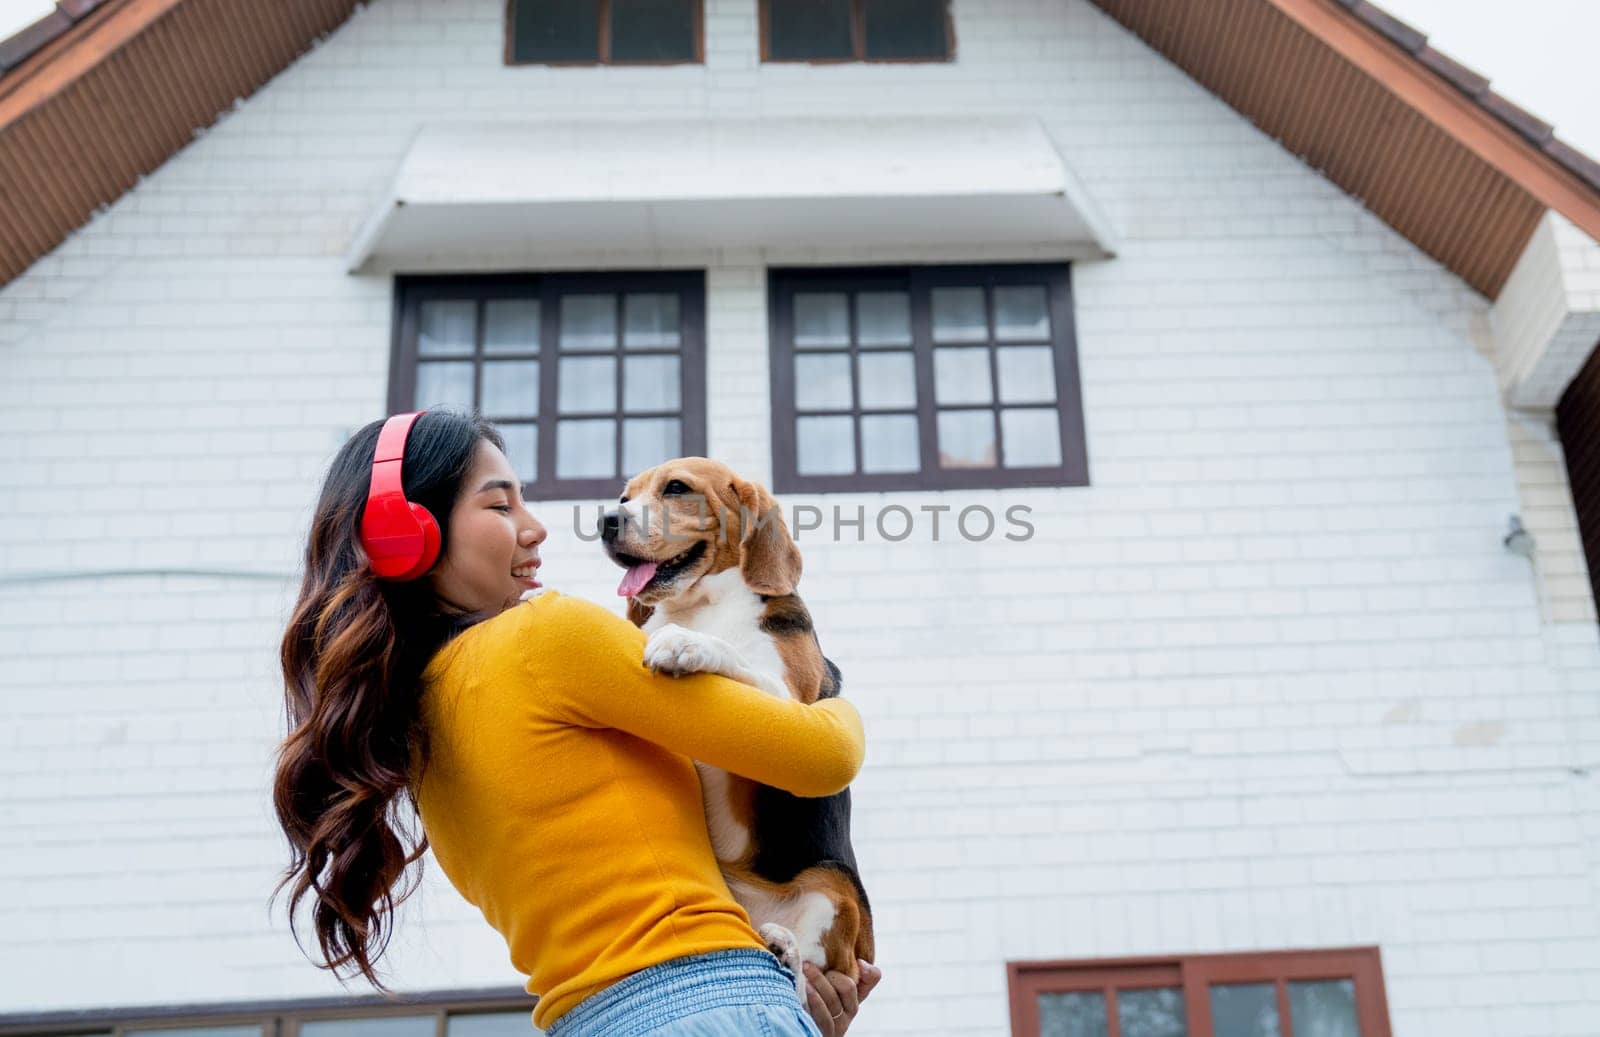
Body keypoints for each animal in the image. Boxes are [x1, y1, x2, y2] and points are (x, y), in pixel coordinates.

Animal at [601, 460, 876, 998]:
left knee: (815, 967)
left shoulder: (793, 709)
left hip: (833, 888)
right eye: (625, 497)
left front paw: (685, 643)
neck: (700, 606)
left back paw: (784, 946)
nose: (606, 521)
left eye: (677, 488)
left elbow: (731, 655)